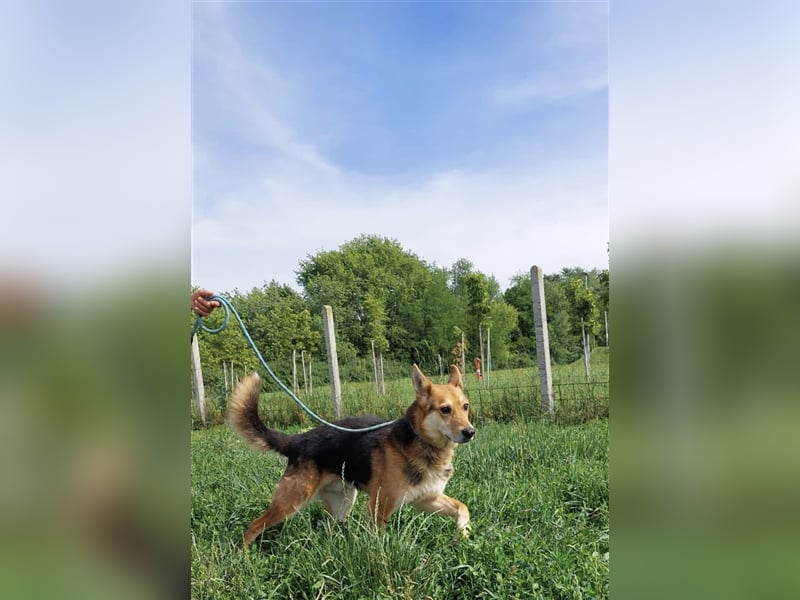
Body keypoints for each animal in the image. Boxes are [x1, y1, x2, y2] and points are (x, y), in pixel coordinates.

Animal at [227, 364, 475, 547]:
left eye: (465, 406)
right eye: (445, 410)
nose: (470, 432)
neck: (423, 441)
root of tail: (298, 440)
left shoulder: (427, 499)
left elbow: (463, 508)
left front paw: (463, 532)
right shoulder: (379, 507)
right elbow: (380, 541)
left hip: (343, 503)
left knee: (327, 528)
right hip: (292, 502)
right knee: (254, 526)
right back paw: (244, 558)